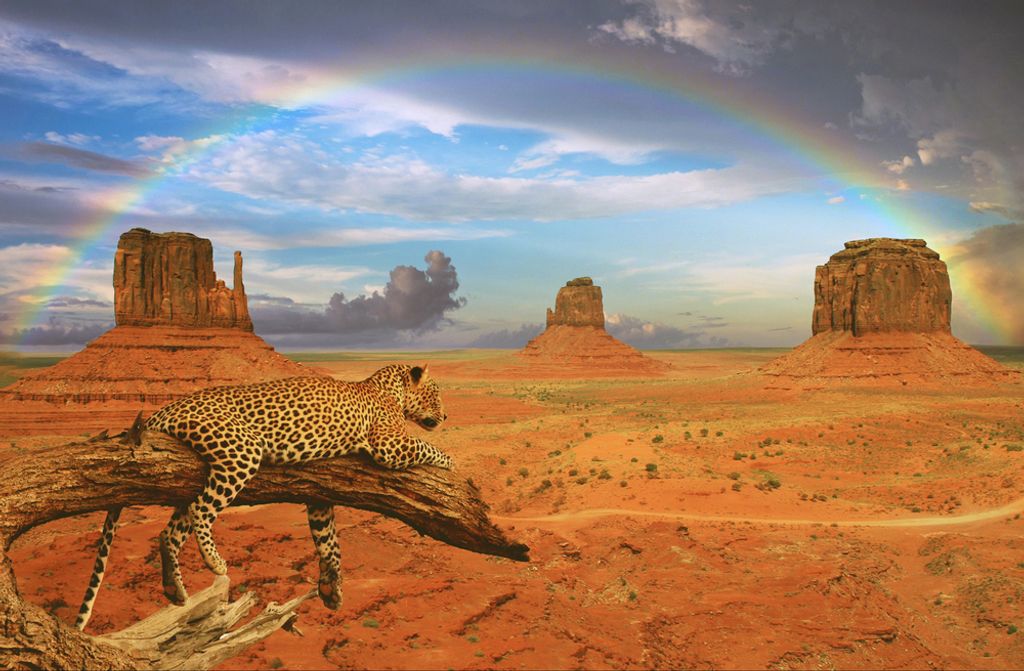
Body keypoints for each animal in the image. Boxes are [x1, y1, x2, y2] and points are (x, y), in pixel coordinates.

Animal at [75, 363, 451, 630]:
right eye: (435, 393)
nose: (446, 415)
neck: (389, 389)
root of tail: (165, 408)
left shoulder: (320, 496)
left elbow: (329, 542)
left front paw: (332, 588)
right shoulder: (390, 445)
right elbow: (426, 446)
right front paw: (451, 461)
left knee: (170, 531)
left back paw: (174, 590)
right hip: (241, 450)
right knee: (201, 510)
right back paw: (215, 562)